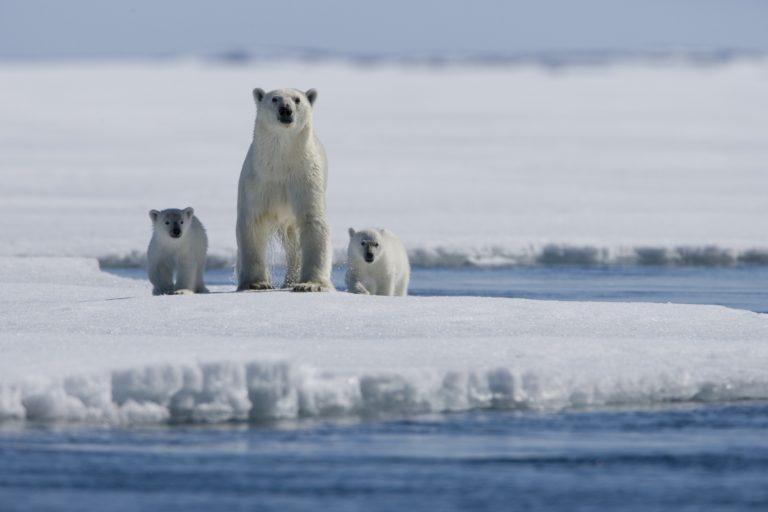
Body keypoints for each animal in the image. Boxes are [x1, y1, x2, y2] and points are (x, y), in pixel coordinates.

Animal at [237, 87, 332, 292]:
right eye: (274, 99)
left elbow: (313, 222)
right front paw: (257, 283)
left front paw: (309, 284)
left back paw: (291, 280)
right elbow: (252, 223)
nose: (285, 110)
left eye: (297, 99)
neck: (280, 163)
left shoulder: (304, 178)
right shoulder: (258, 181)